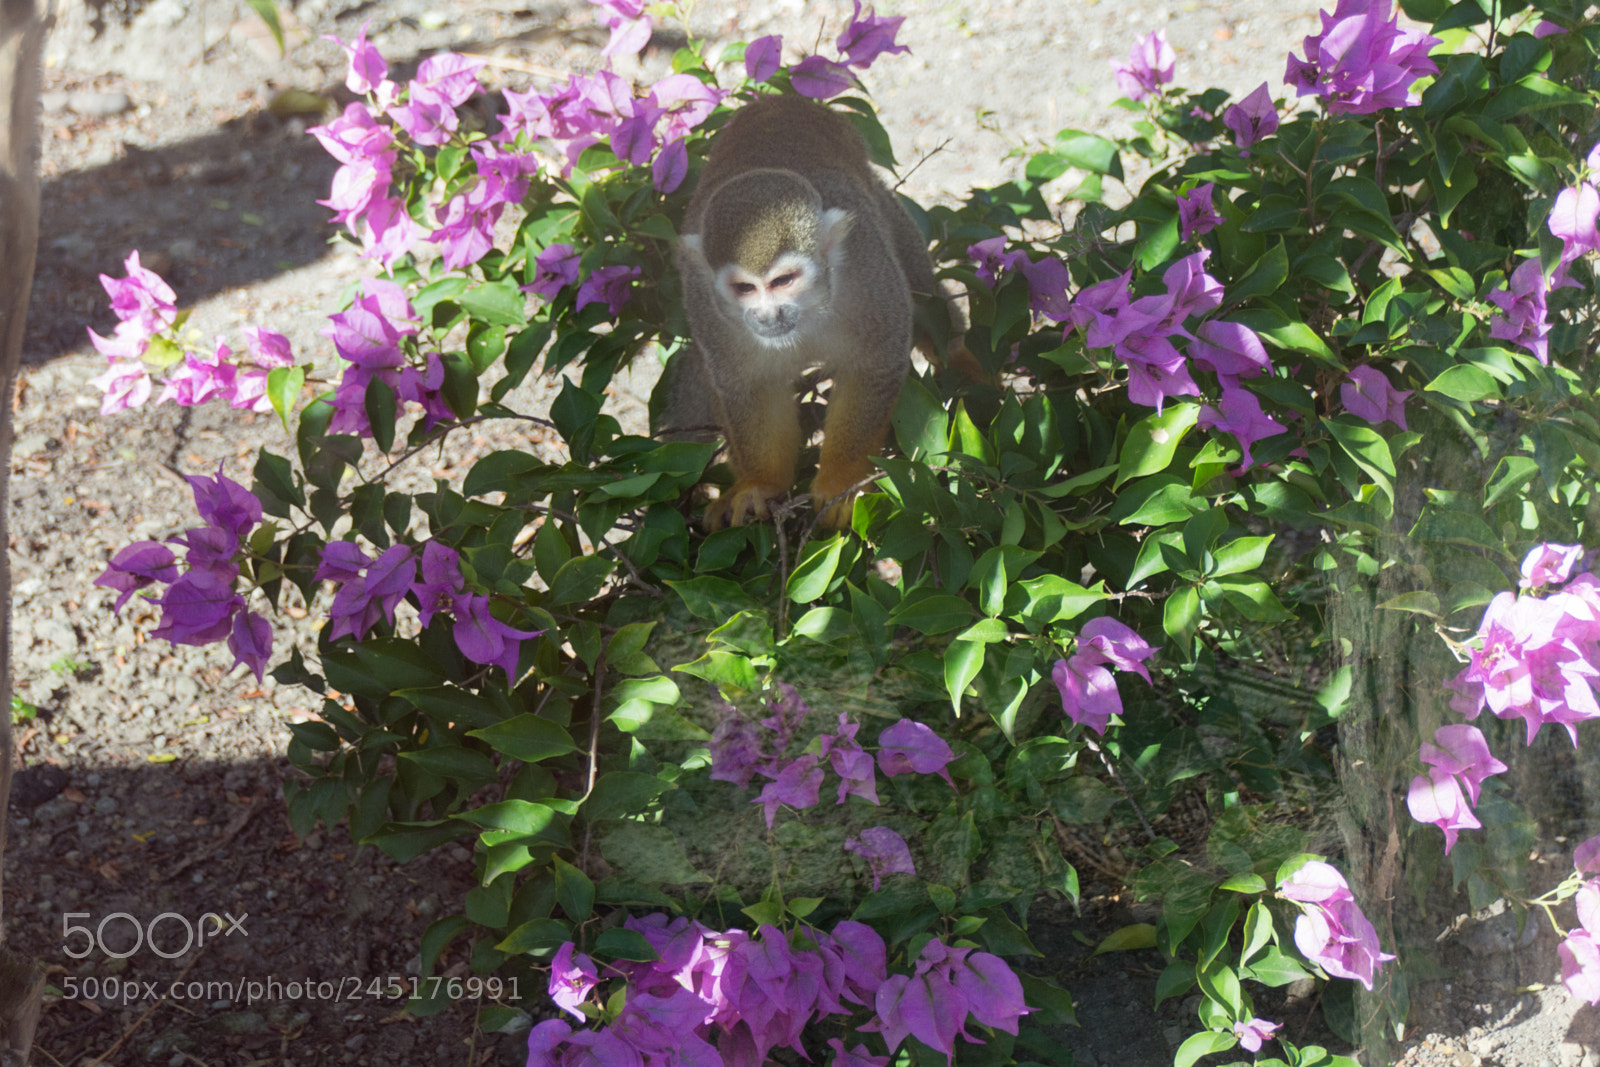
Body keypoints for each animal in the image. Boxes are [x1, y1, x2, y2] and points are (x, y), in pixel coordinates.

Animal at [668, 93, 942, 532]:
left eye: (783, 280)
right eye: (745, 289)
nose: (768, 315)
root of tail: (779, 99)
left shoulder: (867, 268)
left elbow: (874, 363)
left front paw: (841, 480)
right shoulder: (705, 305)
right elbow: (749, 387)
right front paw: (759, 484)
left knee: (920, 283)